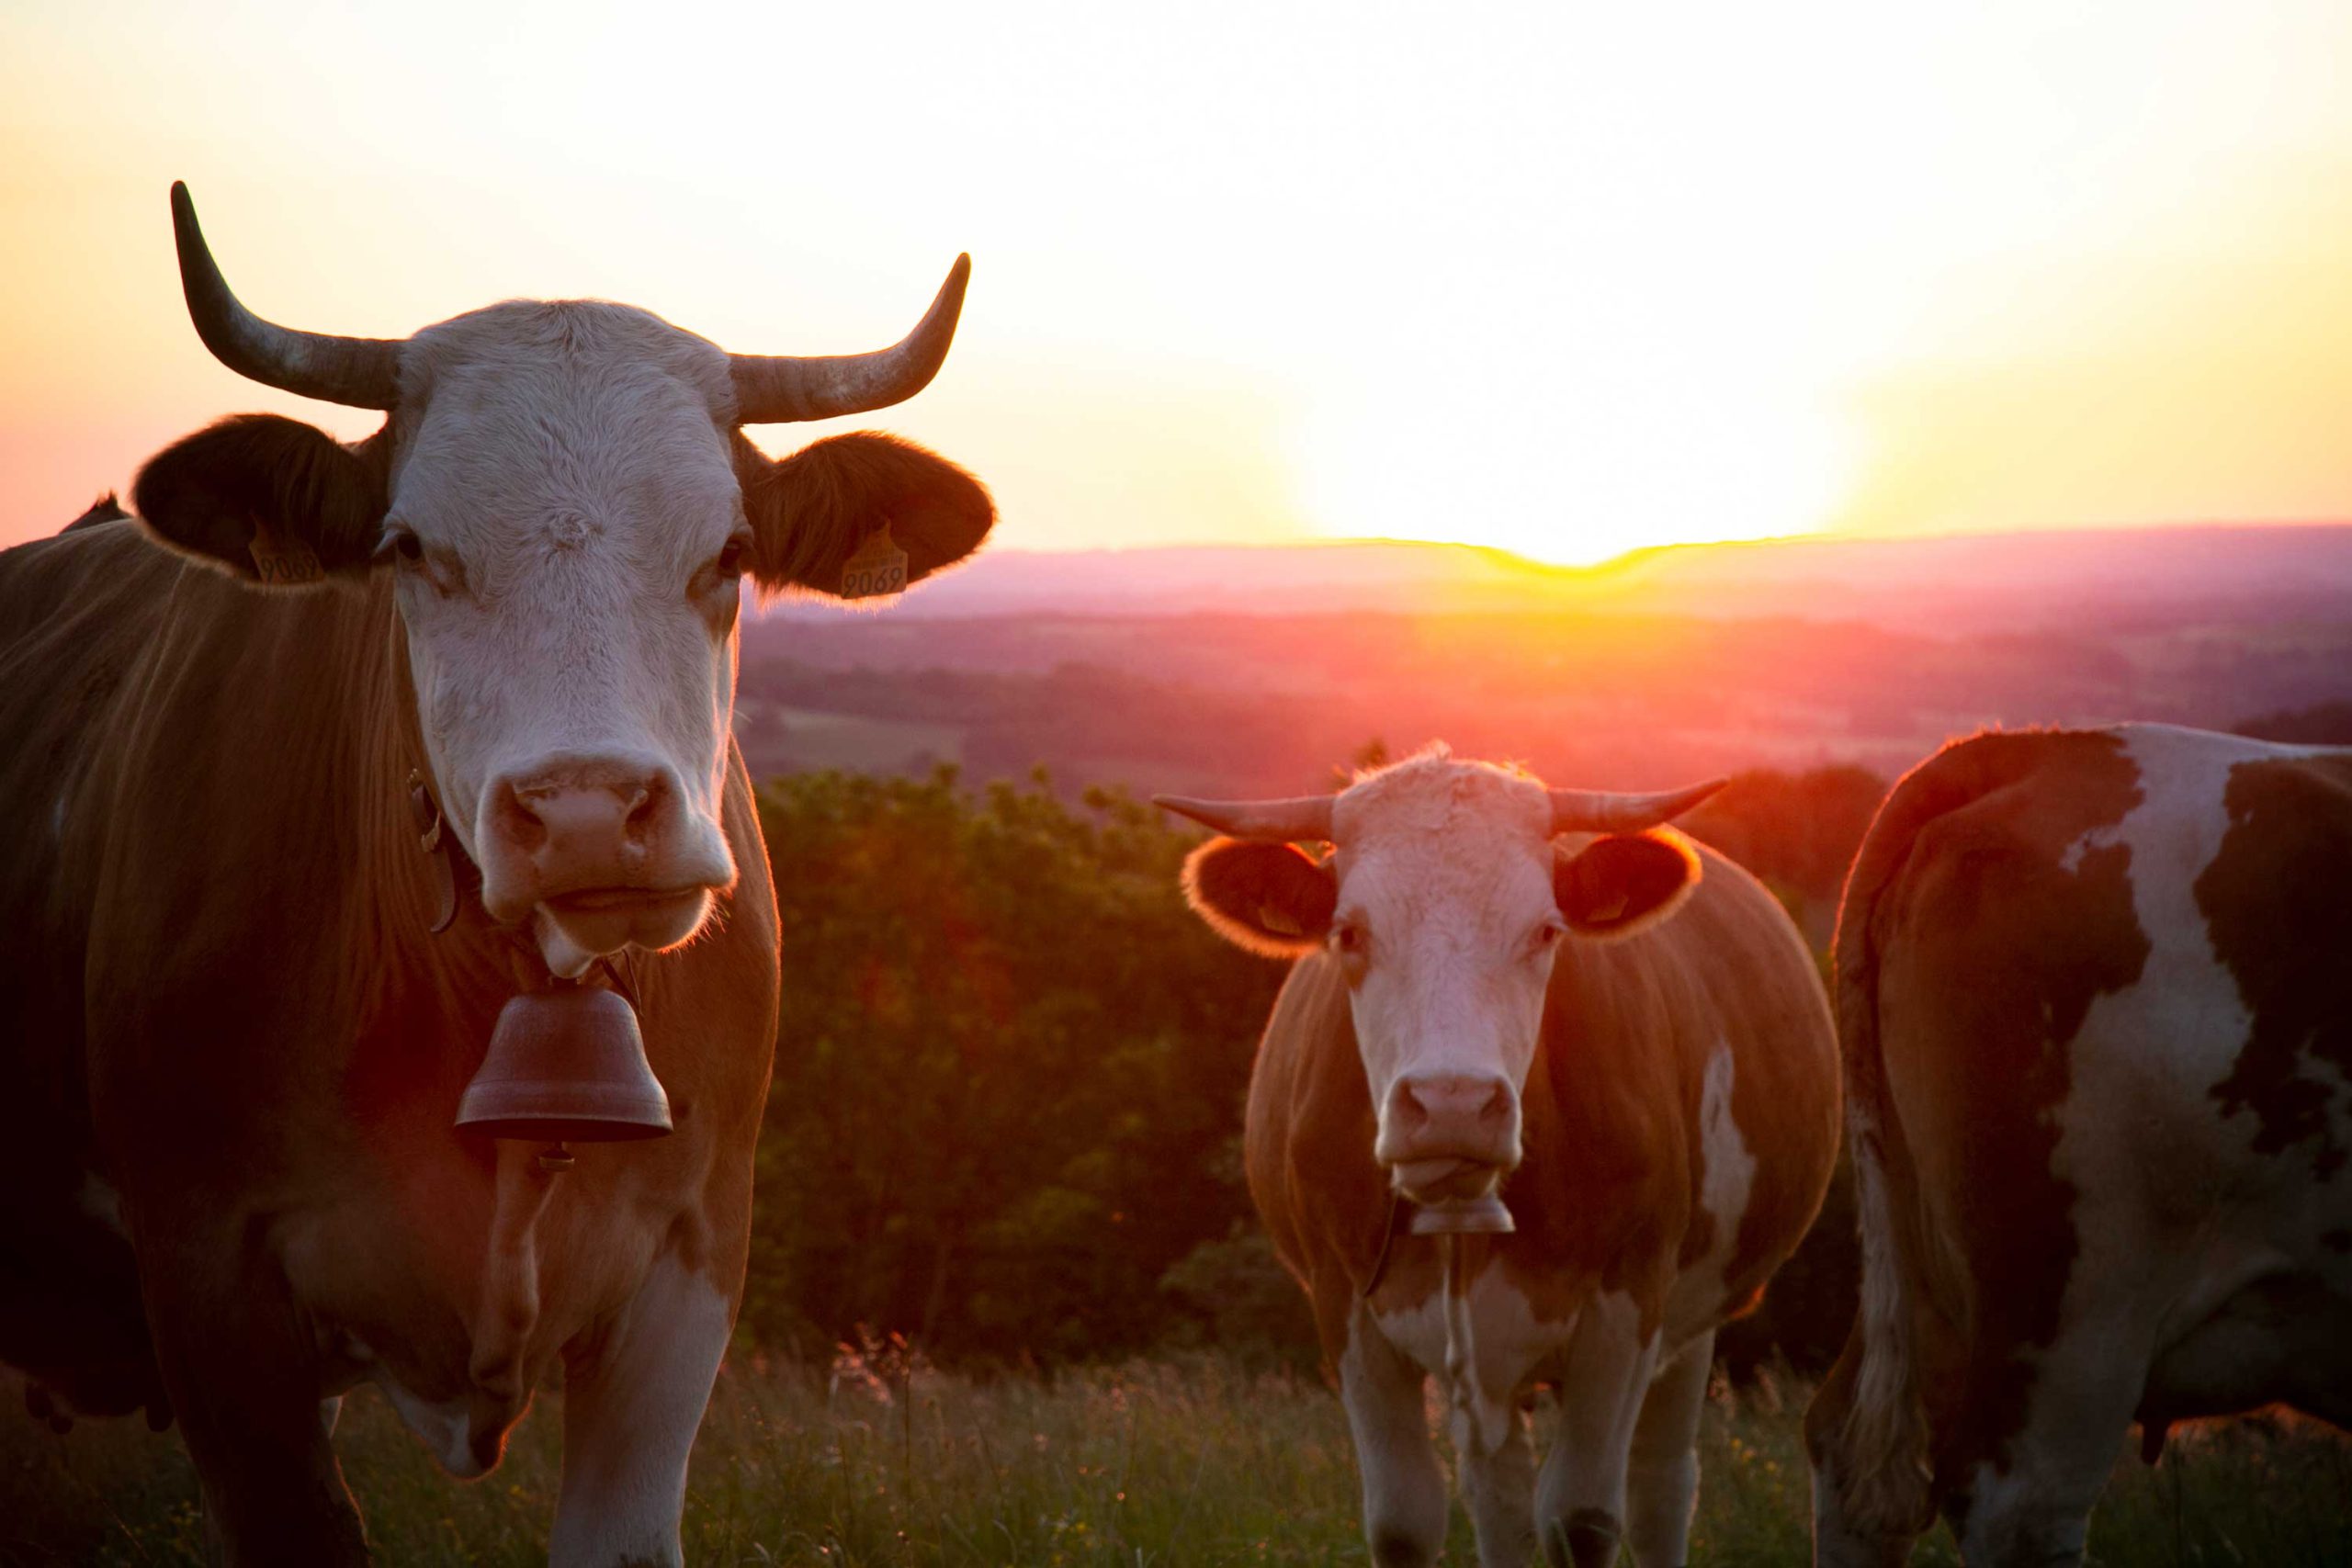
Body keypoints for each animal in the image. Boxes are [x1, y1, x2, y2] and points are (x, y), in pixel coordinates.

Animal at [1166, 747, 1844, 1568]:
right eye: (1349, 933)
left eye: (1546, 931)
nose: (1452, 1101)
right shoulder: (1344, 1303)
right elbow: (1406, 1518)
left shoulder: (1628, 1303)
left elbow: (1582, 1517)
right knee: (1501, 1493)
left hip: (1693, 1315)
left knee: (1660, 1484)